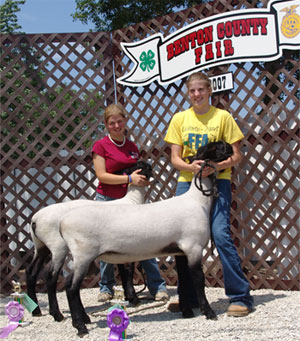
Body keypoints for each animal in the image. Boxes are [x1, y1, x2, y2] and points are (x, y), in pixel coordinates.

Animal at [25, 159, 152, 322]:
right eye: (143, 166)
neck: (132, 200)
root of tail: (35, 219)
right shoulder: (129, 245)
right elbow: (129, 272)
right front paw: (133, 298)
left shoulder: (119, 247)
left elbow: (123, 272)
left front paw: (129, 297)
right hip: (58, 246)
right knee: (51, 277)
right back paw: (57, 314)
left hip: (40, 246)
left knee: (31, 272)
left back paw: (36, 310)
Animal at [58, 141, 232, 334]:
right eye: (214, 147)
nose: (230, 147)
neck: (197, 201)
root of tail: (62, 222)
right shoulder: (193, 247)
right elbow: (198, 280)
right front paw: (208, 312)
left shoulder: (179, 251)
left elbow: (184, 279)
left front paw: (187, 312)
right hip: (83, 254)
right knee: (71, 288)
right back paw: (80, 326)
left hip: (82, 257)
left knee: (69, 284)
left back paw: (84, 320)